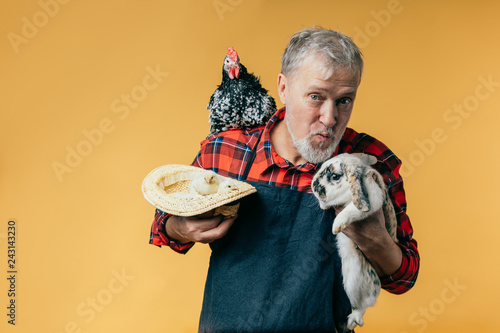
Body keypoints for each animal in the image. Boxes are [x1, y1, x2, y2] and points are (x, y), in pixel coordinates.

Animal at [312, 153, 398, 330]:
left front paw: (336, 226)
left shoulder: (372, 198)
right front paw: (324, 206)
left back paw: (353, 321)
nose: (314, 187)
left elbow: (352, 210)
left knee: (361, 306)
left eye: (335, 176)